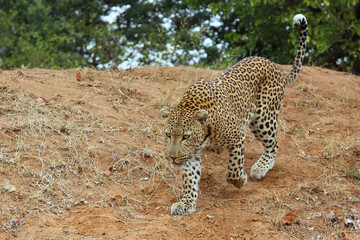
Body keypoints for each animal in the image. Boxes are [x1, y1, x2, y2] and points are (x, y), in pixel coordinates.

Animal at [162, 13, 308, 216]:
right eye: (168, 135)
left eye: (185, 137)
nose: (172, 158)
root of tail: (275, 67)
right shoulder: (190, 155)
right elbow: (190, 179)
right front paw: (187, 203)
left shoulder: (237, 137)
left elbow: (233, 169)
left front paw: (241, 180)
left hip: (263, 119)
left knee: (274, 144)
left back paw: (261, 168)